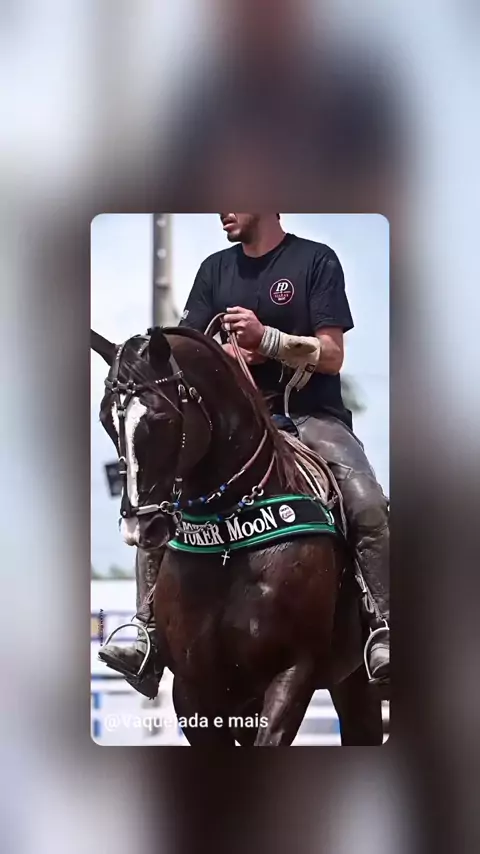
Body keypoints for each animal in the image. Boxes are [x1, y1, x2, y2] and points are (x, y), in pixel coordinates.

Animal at [91, 325, 384, 746]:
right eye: (105, 419)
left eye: (161, 417)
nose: (138, 527)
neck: (230, 542)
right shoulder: (193, 687)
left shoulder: (293, 671)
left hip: (355, 682)